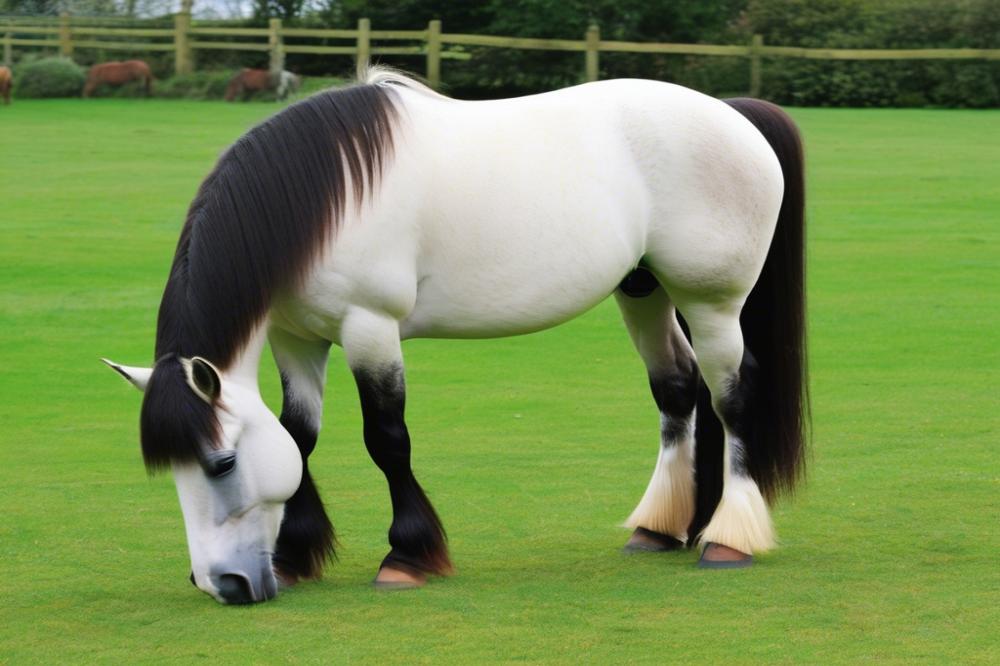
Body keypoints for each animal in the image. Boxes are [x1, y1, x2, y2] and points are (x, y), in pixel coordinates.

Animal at [105, 66, 808, 600]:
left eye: (222, 463)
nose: (223, 584)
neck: (323, 200)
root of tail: (730, 114)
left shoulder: (370, 329)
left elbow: (387, 440)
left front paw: (406, 557)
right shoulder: (296, 339)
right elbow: (299, 436)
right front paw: (295, 556)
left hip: (711, 301)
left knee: (733, 398)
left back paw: (728, 538)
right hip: (645, 291)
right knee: (678, 389)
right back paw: (664, 528)